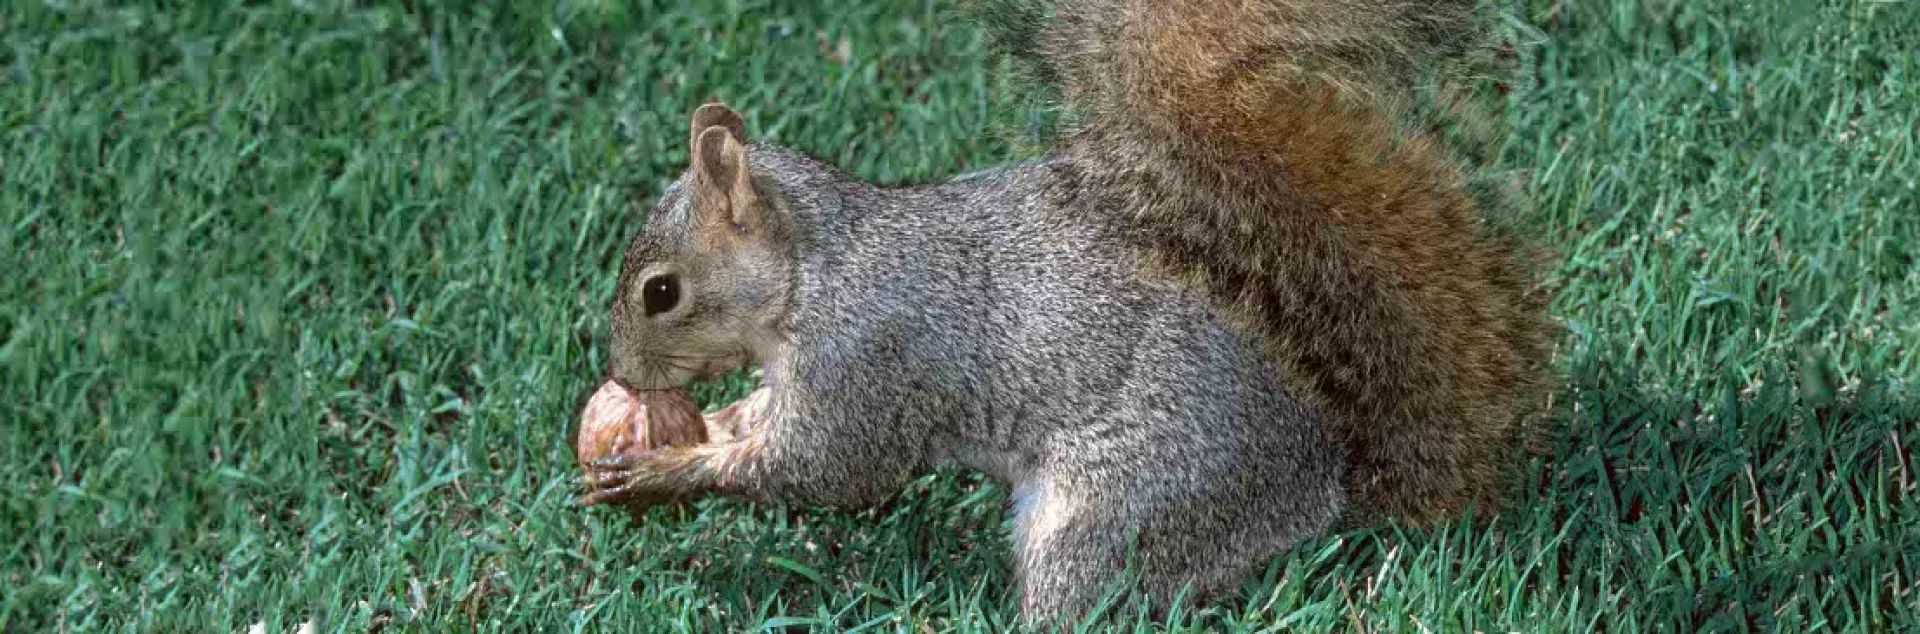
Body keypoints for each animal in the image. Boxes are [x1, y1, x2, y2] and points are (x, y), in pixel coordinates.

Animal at [578, 0, 1554, 627]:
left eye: (660, 292)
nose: (622, 373)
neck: (817, 270)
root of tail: (1325, 486)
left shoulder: (869, 360)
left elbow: (828, 470)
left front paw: (667, 473)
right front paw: (711, 426)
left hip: (1122, 511)